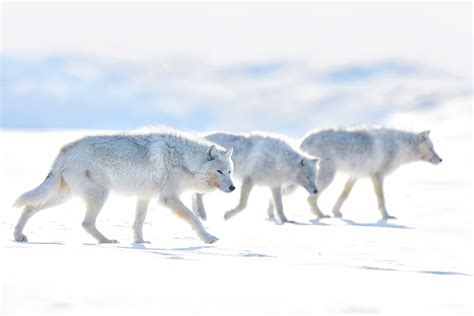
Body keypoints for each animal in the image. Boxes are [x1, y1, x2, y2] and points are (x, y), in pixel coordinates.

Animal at [13, 128, 236, 244]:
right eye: (219, 171)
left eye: (230, 172)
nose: (233, 188)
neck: (184, 159)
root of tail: (63, 151)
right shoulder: (169, 198)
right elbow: (194, 218)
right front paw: (207, 237)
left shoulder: (145, 197)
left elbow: (138, 223)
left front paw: (140, 243)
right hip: (99, 195)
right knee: (86, 223)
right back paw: (106, 241)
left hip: (63, 196)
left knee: (29, 207)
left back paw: (18, 235)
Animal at [298, 127, 442, 218]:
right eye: (431, 148)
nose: (441, 160)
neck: (399, 146)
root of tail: (303, 141)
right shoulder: (378, 177)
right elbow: (382, 200)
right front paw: (386, 217)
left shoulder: (355, 176)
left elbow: (343, 196)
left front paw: (336, 212)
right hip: (327, 178)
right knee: (310, 199)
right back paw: (320, 216)